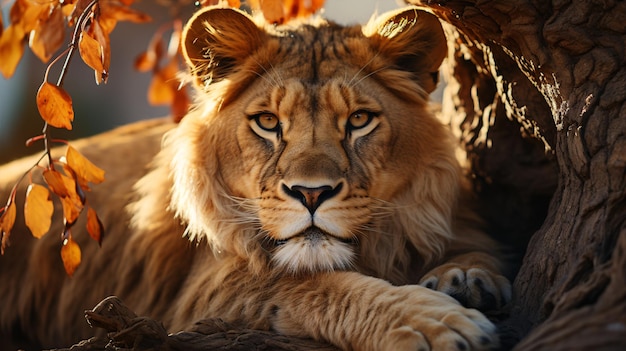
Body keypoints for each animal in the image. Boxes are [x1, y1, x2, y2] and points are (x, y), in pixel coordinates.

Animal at [0, 6, 510, 351]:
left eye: (360, 120)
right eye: (267, 122)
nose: (311, 193)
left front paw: (465, 275)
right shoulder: (198, 295)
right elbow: (315, 285)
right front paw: (432, 324)